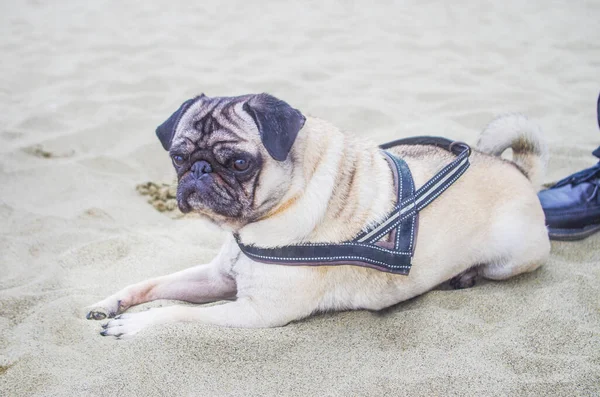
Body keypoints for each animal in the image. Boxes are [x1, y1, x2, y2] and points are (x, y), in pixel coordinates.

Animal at [86, 93, 552, 338]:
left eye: (238, 163)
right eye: (178, 158)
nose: (198, 171)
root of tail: (517, 171)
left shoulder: (256, 312)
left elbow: (181, 313)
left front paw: (135, 324)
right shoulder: (218, 277)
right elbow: (153, 283)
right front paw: (112, 303)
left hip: (511, 259)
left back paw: (466, 275)